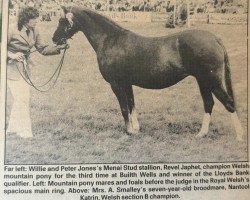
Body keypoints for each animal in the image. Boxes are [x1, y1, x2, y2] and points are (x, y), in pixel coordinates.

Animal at [53, 6, 244, 141]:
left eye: (62, 21)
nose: (54, 39)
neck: (110, 40)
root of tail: (215, 39)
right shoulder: (127, 83)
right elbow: (131, 104)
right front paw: (136, 129)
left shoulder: (116, 84)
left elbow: (124, 107)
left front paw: (129, 131)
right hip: (203, 81)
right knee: (209, 103)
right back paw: (202, 134)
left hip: (211, 79)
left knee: (228, 103)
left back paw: (240, 136)